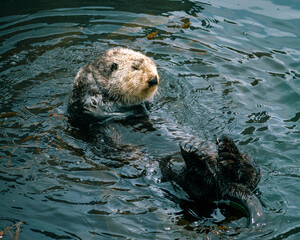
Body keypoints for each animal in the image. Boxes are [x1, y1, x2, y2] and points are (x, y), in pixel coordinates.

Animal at [68, 48, 264, 227]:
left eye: (153, 66)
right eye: (135, 67)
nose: (153, 79)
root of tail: (223, 182)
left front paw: (144, 107)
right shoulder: (85, 100)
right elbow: (97, 110)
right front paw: (136, 109)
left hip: (235, 161)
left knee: (251, 174)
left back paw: (229, 152)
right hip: (171, 169)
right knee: (197, 186)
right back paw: (195, 158)